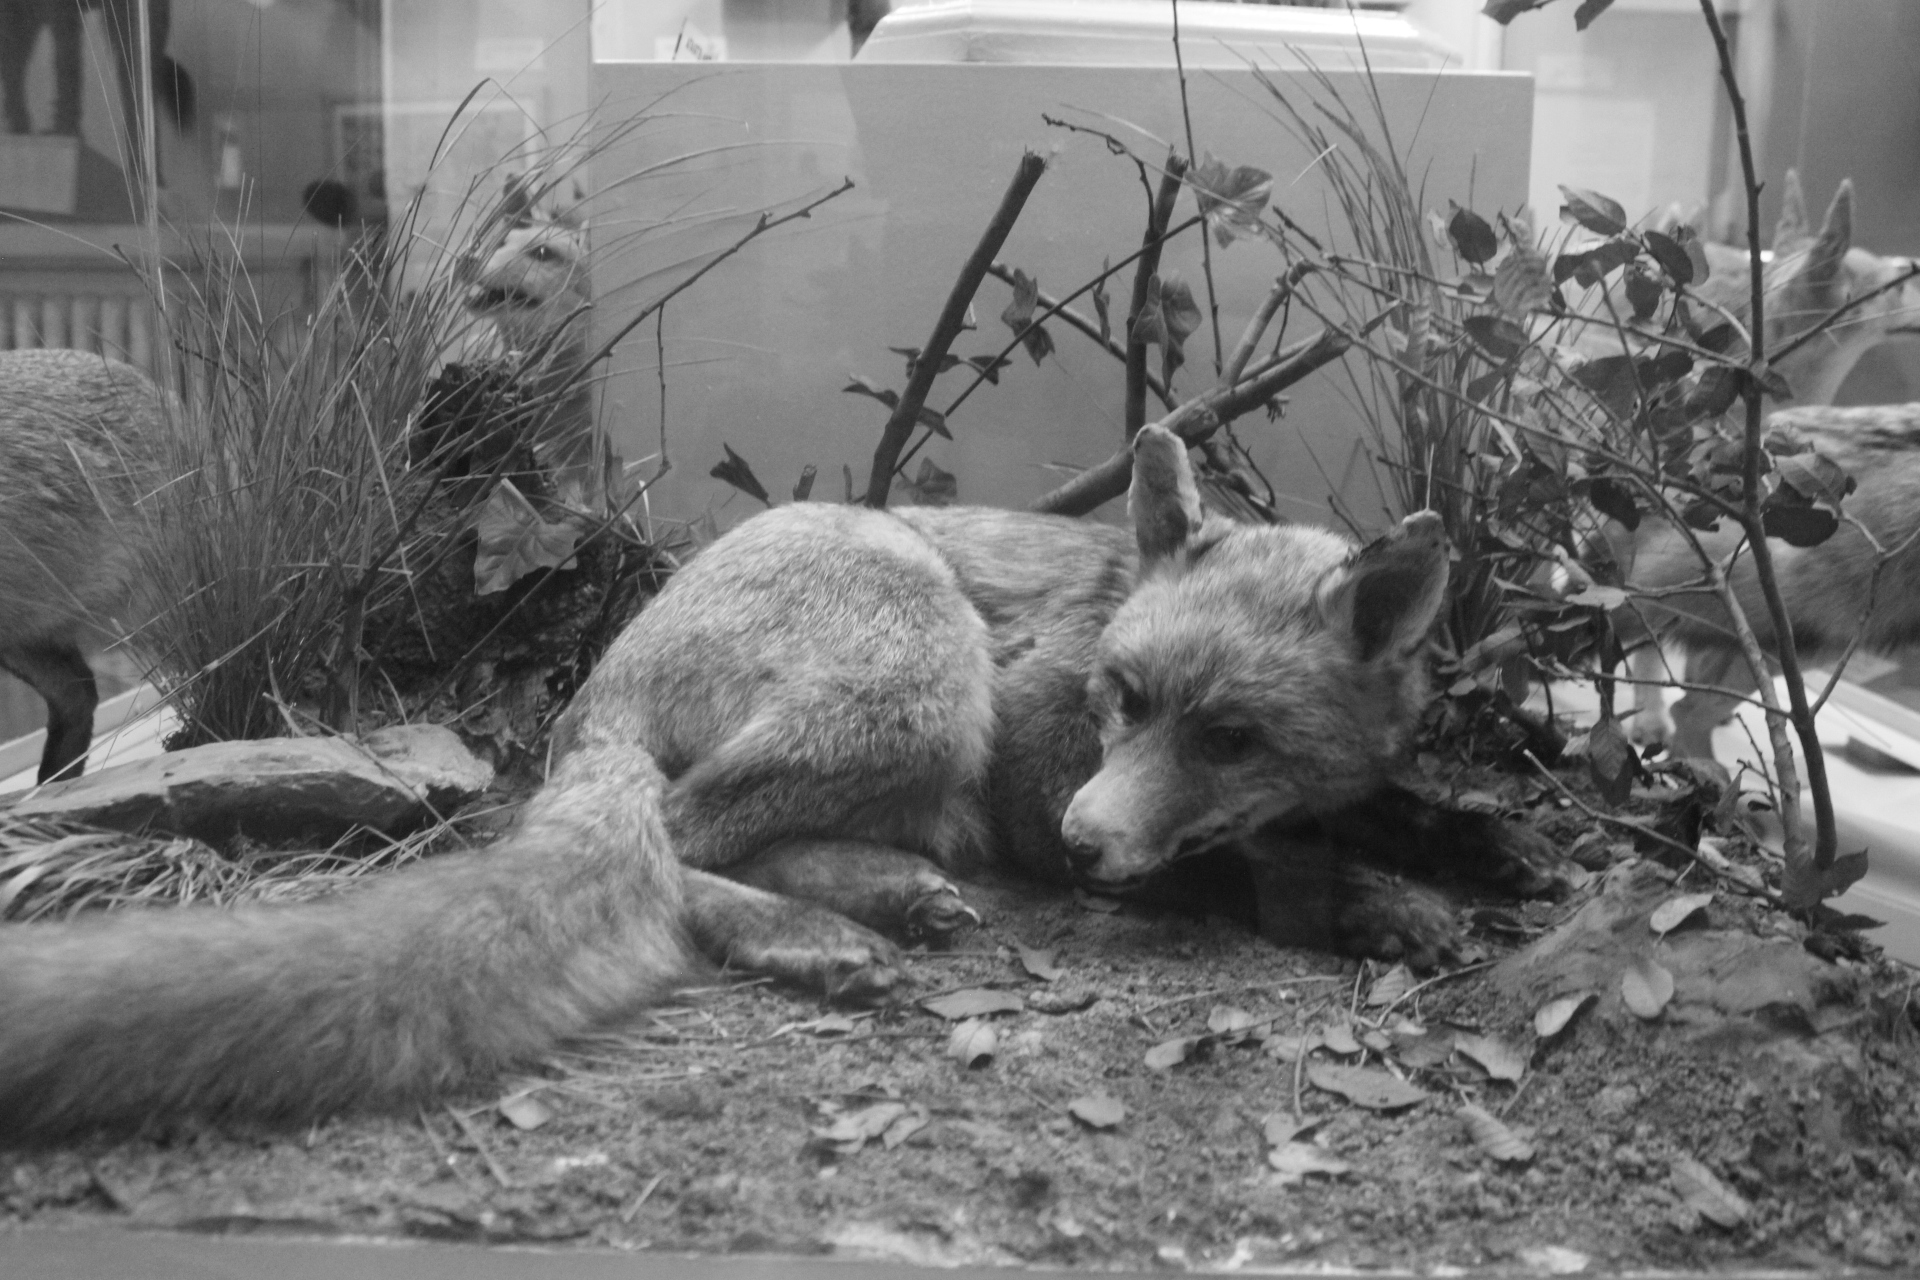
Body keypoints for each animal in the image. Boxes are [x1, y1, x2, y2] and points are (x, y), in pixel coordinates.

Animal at [0, 422, 1562, 1141]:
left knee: (752, 843)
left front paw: (1467, 849)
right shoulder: (1035, 760)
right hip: (927, 672)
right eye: (1122, 701)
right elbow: (1247, 865)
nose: (1083, 846)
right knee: (686, 845)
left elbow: (1394, 807)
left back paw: (878, 906)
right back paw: (817, 933)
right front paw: (1367, 900)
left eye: (1233, 736)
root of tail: (598, 686)